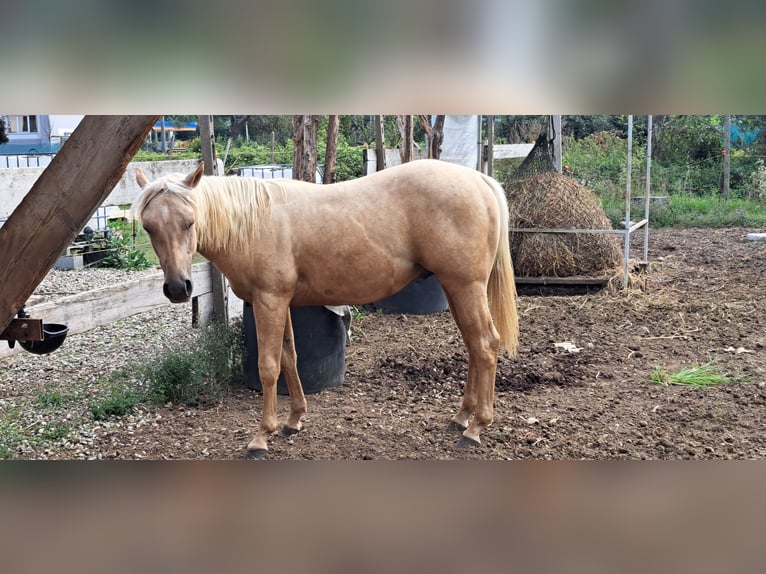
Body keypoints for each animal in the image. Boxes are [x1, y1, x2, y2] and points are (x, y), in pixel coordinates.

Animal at [136, 160, 520, 462]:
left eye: (189, 222)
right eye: (148, 226)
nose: (178, 288)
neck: (253, 222)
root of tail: (478, 179)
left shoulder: (268, 301)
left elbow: (268, 367)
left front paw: (261, 436)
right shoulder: (280, 303)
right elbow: (290, 357)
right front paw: (293, 421)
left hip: (465, 287)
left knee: (485, 345)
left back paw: (475, 428)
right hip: (457, 289)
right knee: (473, 347)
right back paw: (461, 417)